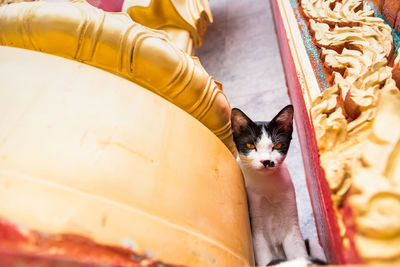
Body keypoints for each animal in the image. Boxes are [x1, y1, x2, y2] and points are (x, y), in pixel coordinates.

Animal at [230, 105, 326, 266]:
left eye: (278, 145)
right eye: (250, 145)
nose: (266, 161)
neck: (267, 185)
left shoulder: (291, 225)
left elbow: (298, 251)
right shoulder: (257, 231)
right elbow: (264, 257)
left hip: (312, 242)